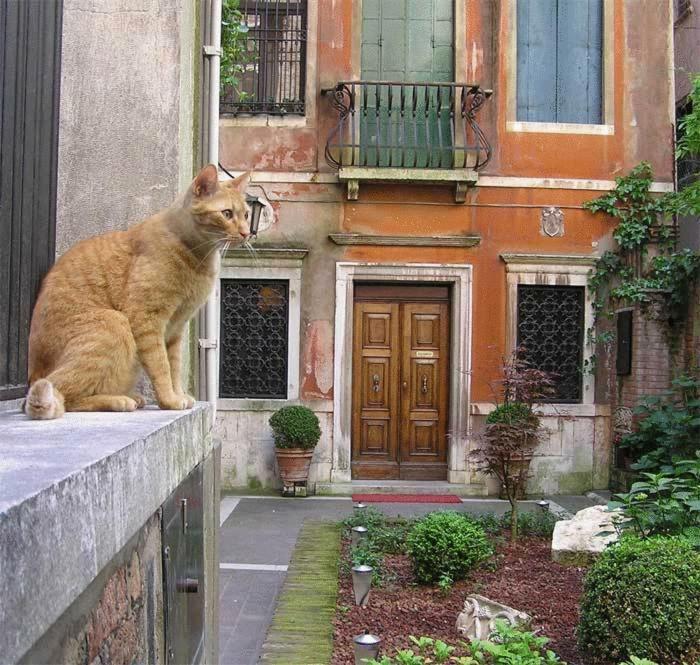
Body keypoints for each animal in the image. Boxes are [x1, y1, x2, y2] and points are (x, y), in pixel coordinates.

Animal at [26, 163, 250, 418]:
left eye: (246, 214)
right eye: (227, 214)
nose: (247, 233)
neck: (198, 257)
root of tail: (33, 372)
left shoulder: (175, 328)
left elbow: (174, 366)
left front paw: (179, 394)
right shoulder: (147, 319)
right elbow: (161, 366)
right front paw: (169, 400)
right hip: (113, 322)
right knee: (64, 394)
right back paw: (119, 401)